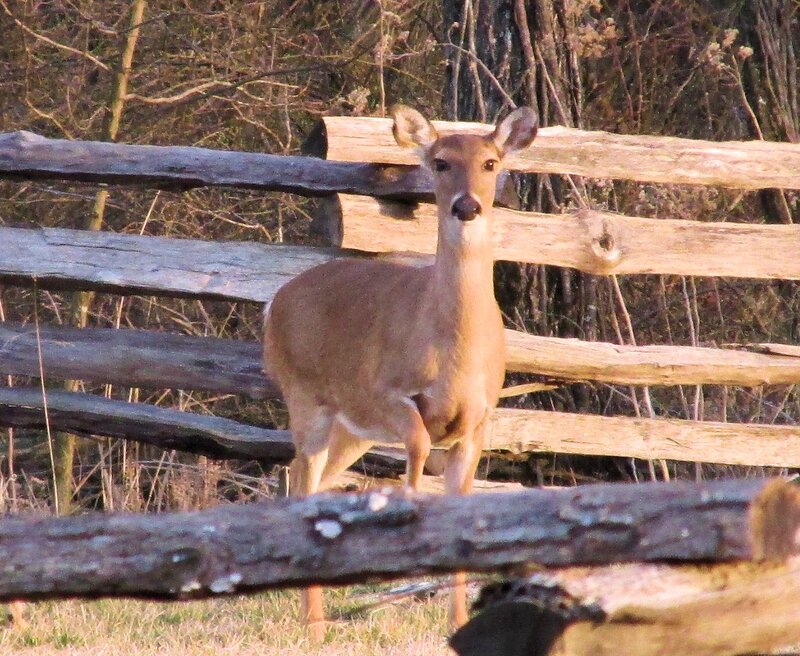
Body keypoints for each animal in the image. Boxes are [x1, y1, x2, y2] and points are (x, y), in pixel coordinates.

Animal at [263, 104, 538, 642]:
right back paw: (314, 624)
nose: (467, 207)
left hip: (351, 430)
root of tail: (273, 302)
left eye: (491, 162)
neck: (453, 351)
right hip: (306, 397)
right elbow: (418, 444)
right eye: (440, 161)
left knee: (307, 480)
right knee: (301, 481)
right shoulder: (385, 392)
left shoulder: (479, 421)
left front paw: (456, 622)